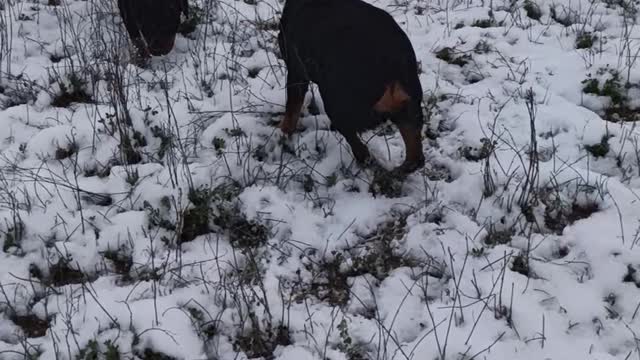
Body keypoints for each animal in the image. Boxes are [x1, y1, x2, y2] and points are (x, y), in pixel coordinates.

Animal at [278, 0, 424, 173]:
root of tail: (390, 62)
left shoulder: (296, 72)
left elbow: (291, 109)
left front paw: (283, 134)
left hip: (335, 102)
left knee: (356, 142)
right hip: (410, 106)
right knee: (415, 155)